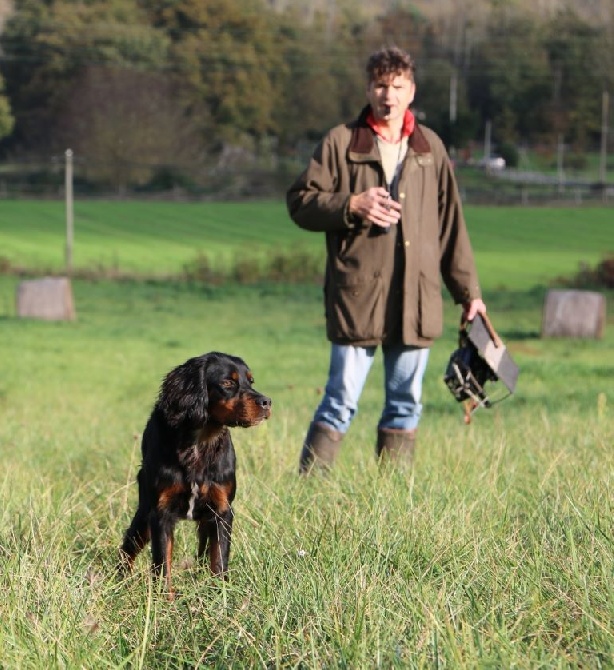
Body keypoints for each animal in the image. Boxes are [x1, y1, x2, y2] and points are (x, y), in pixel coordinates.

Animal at [119, 352, 272, 600]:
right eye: (227, 382)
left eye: (251, 381)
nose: (267, 402)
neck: (200, 442)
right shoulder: (160, 512)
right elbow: (162, 562)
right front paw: (166, 600)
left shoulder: (221, 511)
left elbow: (218, 558)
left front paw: (220, 596)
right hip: (144, 513)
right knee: (128, 547)